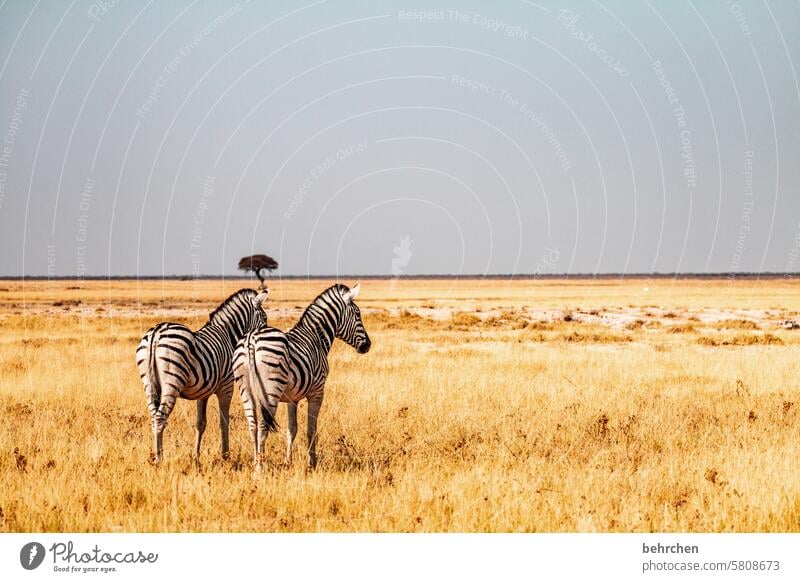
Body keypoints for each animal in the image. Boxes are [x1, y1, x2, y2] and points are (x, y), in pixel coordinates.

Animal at [134, 288, 266, 466]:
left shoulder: (203, 391)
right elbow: (224, 421)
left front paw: (196, 457)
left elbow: (200, 423)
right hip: (172, 382)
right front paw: (225, 455)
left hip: (148, 383)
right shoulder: (226, 387)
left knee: (154, 417)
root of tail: (156, 333)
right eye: (265, 318)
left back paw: (155, 456)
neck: (228, 334)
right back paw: (159, 458)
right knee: (160, 418)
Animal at [230, 282, 370, 470]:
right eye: (357, 314)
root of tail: (250, 339)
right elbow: (311, 429)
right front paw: (312, 463)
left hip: (245, 388)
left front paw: (288, 461)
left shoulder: (292, 397)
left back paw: (255, 462)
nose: (368, 345)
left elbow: (292, 429)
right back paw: (260, 467)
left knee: (252, 426)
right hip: (270, 390)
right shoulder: (317, 392)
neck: (317, 337)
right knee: (263, 426)